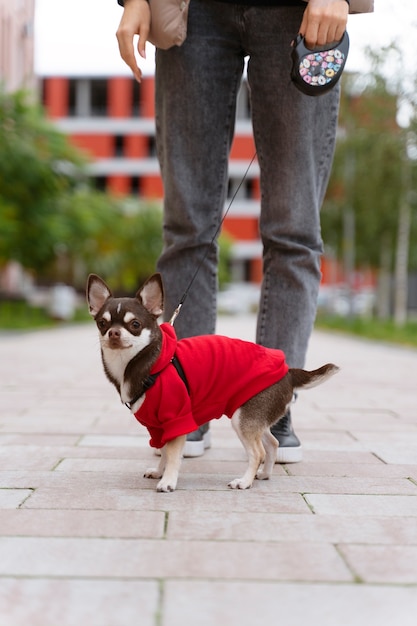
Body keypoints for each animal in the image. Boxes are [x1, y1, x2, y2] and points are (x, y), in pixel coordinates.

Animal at [88, 272, 338, 492]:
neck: (148, 363)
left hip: (243, 419)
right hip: (254, 418)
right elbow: (164, 451)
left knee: (258, 452)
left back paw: (244, 482)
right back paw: (264, 474)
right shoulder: (157, 427)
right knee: (272, 443)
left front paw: (168, 482)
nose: (113, 333)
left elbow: (173, 455)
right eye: (102, 323)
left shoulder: (177, 420)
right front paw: (159, 472)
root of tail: (288, 372)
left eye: (135, 325)